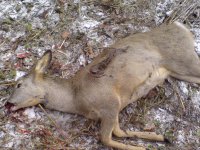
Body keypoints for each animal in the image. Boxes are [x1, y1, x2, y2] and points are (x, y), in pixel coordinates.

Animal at [7, 21, 199, 150]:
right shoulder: (115, 107)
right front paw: (160, 137)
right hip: (180, 71)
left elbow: (106, 138)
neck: (76, 99)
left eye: (18, 84)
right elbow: (120, 132)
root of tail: (181, 28)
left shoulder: (110, 103)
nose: (7, 103)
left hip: (185, 59)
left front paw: (141, 147)